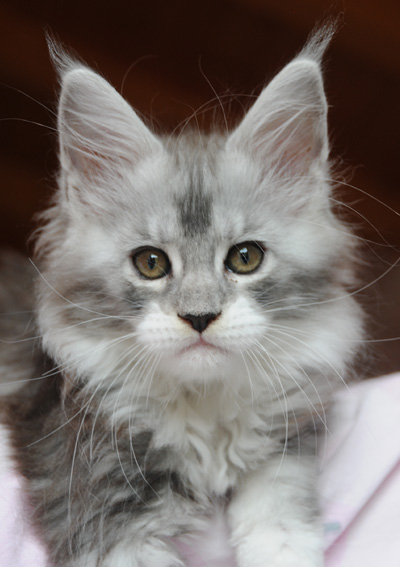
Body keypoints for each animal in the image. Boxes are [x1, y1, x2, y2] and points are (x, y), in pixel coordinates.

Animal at [0, 26, 362, 567]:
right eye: (150, 263)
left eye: (245, 258)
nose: (199, 316)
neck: (202, 408)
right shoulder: (97, 508)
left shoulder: (284, 455)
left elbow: (281, 532)